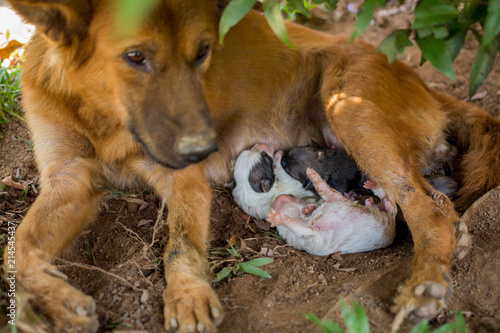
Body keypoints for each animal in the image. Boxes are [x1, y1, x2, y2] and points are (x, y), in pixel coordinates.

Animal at [268, 167, 396, 255]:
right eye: (278, 230)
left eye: (293, 196)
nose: (279, 197)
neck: (309, 219)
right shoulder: (307, 238)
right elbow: (300, 228)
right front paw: (276, 217)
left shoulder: (338, 202)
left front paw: (307, 207)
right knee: (389, 202)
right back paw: (370, 195)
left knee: (388, 200)